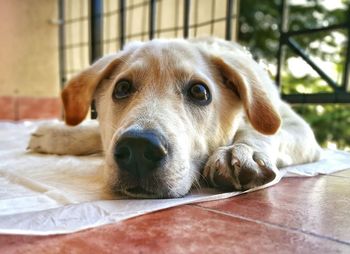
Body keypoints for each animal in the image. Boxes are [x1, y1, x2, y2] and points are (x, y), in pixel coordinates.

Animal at [28, 37, 322, 198]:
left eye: (199, 92)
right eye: (121, 89)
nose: (138, 148)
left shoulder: (297, 127)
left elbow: (261, 132)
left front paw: (240, 151)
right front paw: (56, 134)